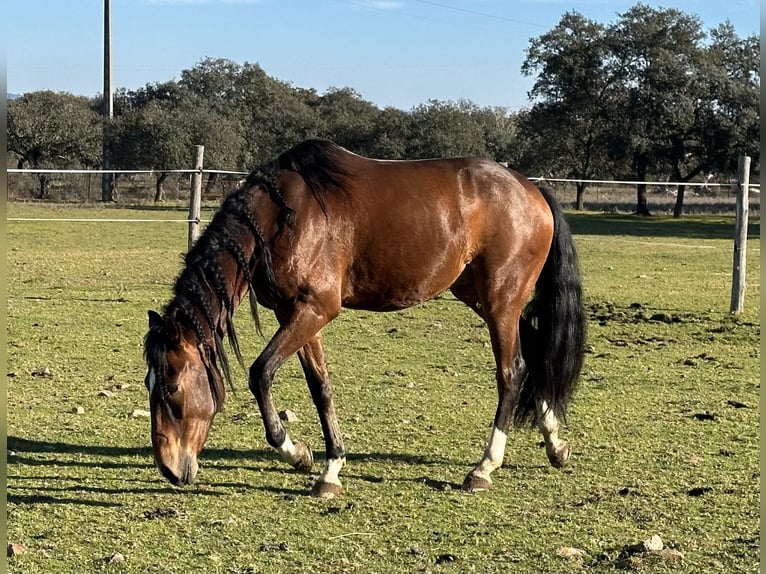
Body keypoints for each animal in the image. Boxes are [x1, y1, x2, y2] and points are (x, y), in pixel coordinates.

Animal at [144, 140, 588, 500]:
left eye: (171, 387)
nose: (168, 468)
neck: (279, 218)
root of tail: (530, 188)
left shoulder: (316, 309)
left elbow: (261, 373)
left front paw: (293, 451)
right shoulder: (298, 313)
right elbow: (320, 388)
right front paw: (327, 468)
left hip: (501, 301)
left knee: (512, 372)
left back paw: (484, 467)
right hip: (482, 297)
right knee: (535, 355)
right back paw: (555, 445)